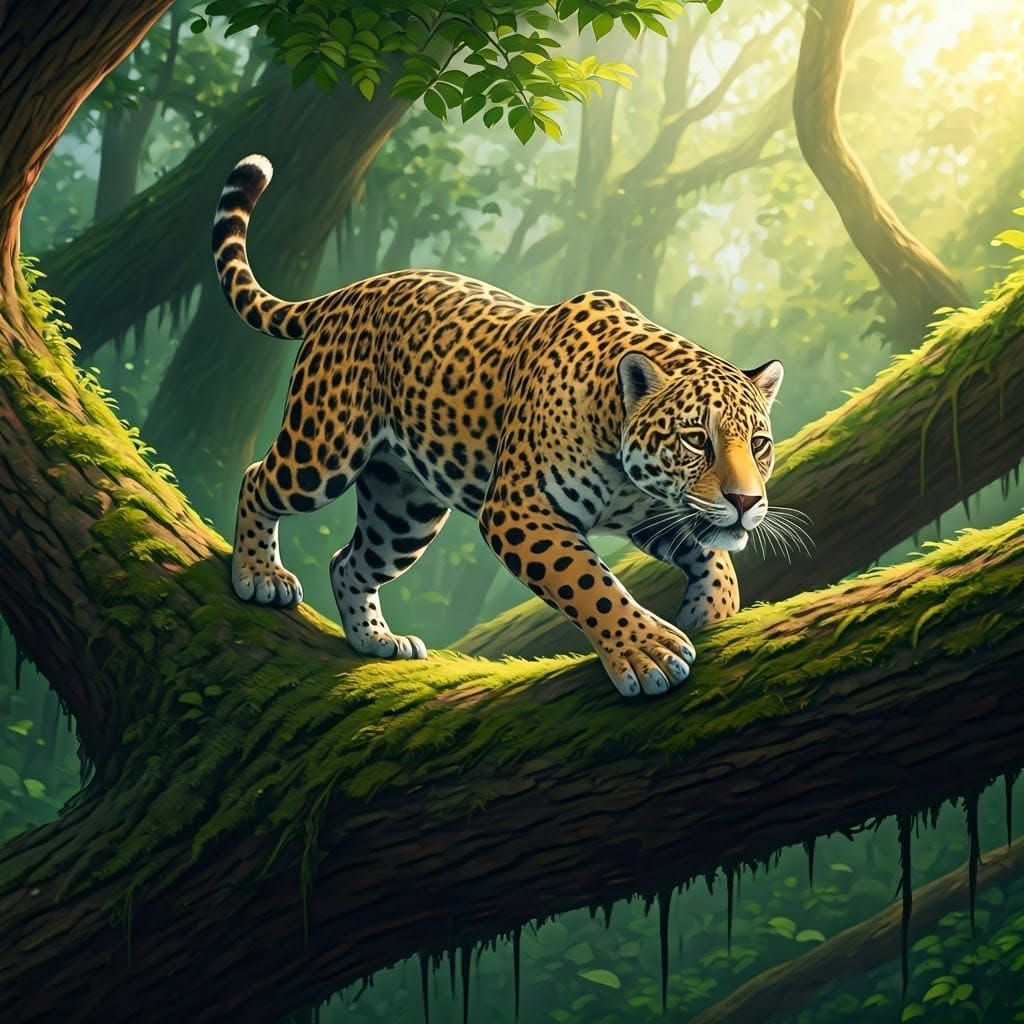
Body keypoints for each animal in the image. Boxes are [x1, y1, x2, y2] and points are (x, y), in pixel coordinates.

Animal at [213, 154, 785, 698]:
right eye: (696, 439)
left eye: (759, 444)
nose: (746, 502)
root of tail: (349, 291)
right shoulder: (519, 509)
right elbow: (589, 583)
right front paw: (648, 652)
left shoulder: (659, 517)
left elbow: (717, 560)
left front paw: (712, 613)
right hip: (323, 449)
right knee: (258, 479)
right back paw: (259, 575)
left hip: (405, 510)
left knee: (347, 562)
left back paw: (376, 641)